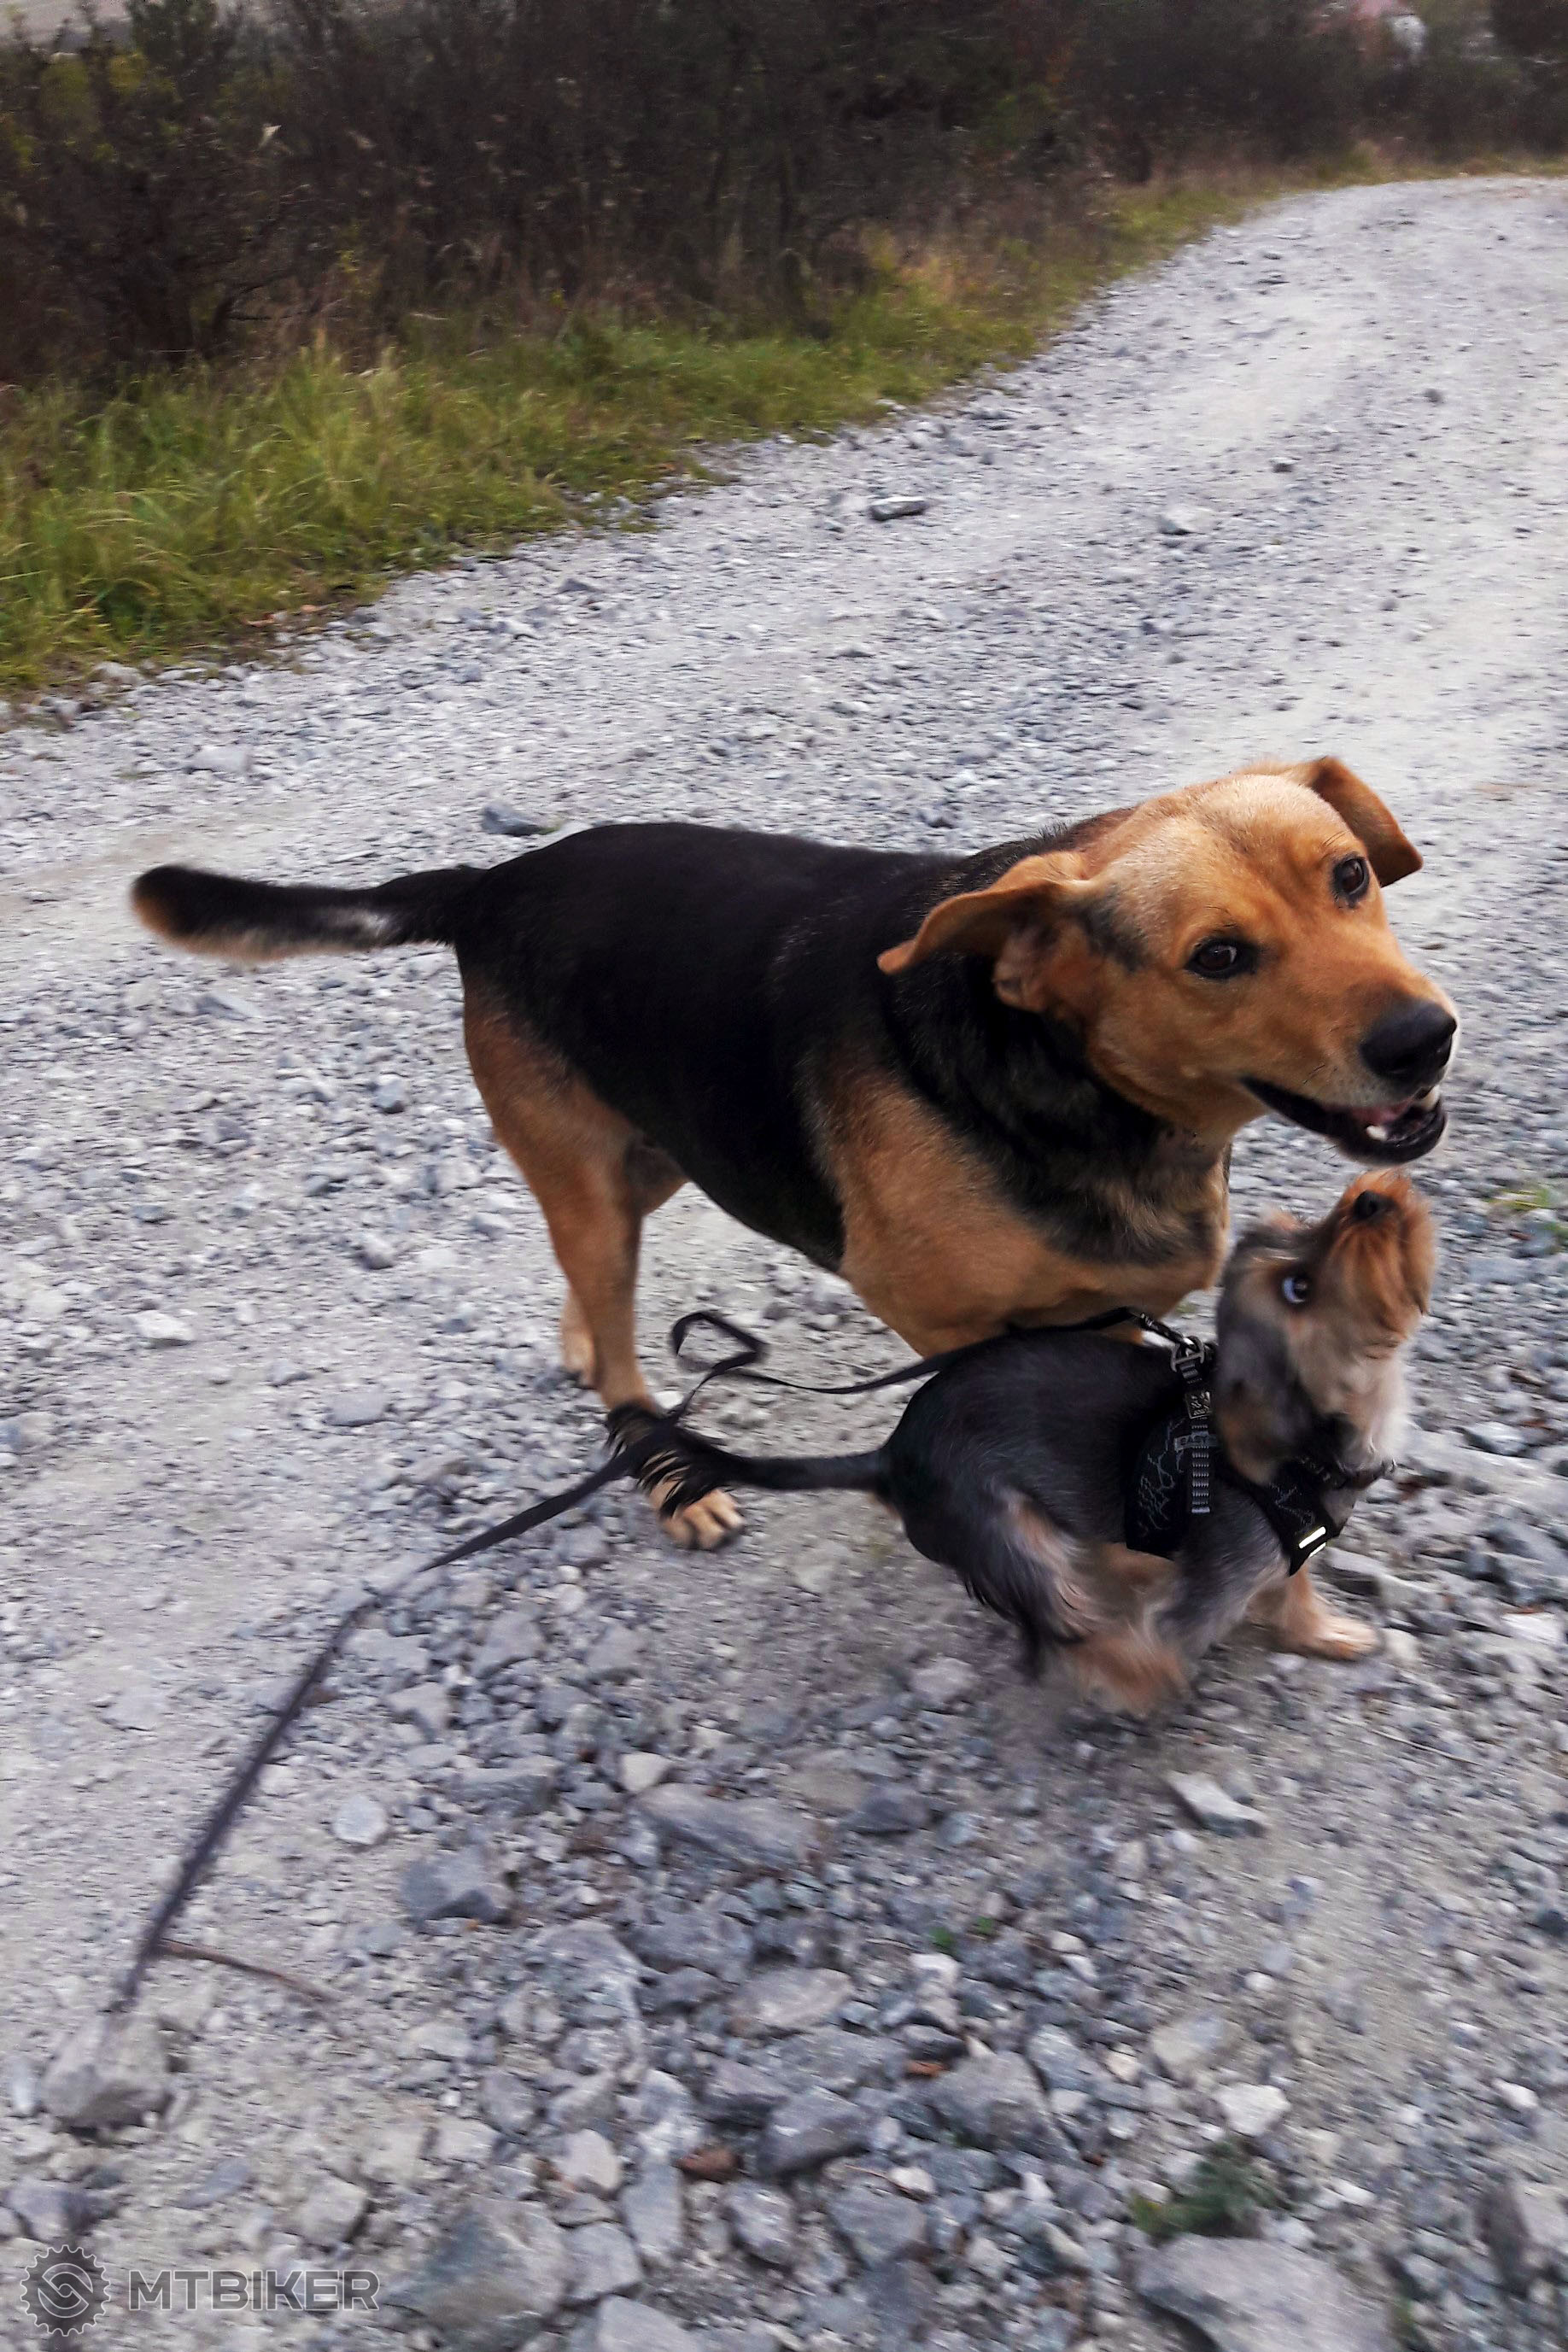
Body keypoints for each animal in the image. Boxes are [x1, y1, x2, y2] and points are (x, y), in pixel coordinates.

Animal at [131, 755, 1455, 1568]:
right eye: (1217, 957)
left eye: (1348, 876)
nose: (1424, 1037)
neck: (1070, 1078)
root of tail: (495, 883)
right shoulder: (941, 1316)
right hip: (606, 1184)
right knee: (625, 1364)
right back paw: (663, 1465)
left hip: (668, 1141)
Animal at [635, 1173, 1434, 1712]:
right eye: (1299, 1287)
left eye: (1303, 1224)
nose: (1372, 1196)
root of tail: (892, 1458)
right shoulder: (1215, 1580)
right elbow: (1160, 1641)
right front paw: (1146, 1680)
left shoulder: (1288, 1548)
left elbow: (1297, 1593)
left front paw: (1328, 1635)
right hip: (1009, 1533)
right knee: (1062, 1617)